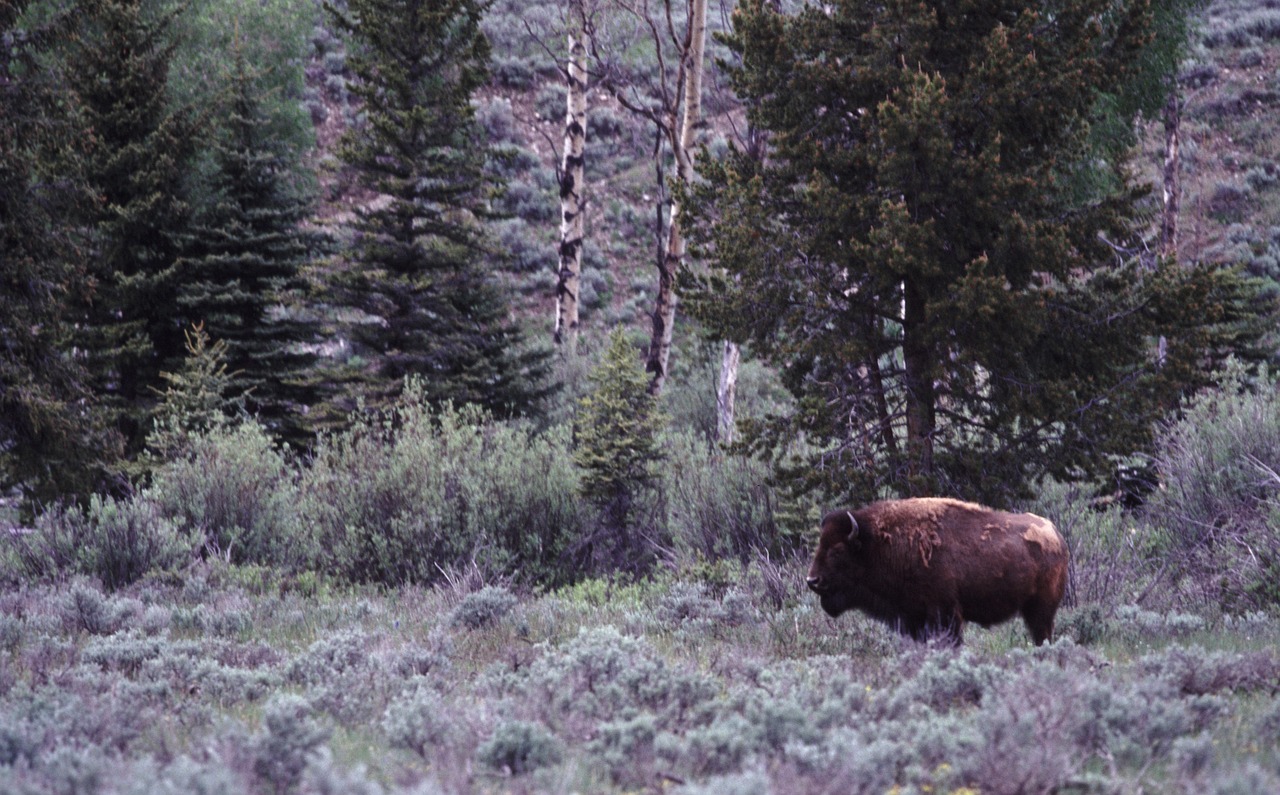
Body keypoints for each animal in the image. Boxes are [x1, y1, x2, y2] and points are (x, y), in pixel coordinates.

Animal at [806, 497, 1069, 645]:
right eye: (820, 544)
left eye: (838, 550)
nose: (812, 580)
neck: (877, 544)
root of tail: (1056, 534)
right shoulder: (912, 618)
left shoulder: (944, 613)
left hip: (1041, 609)